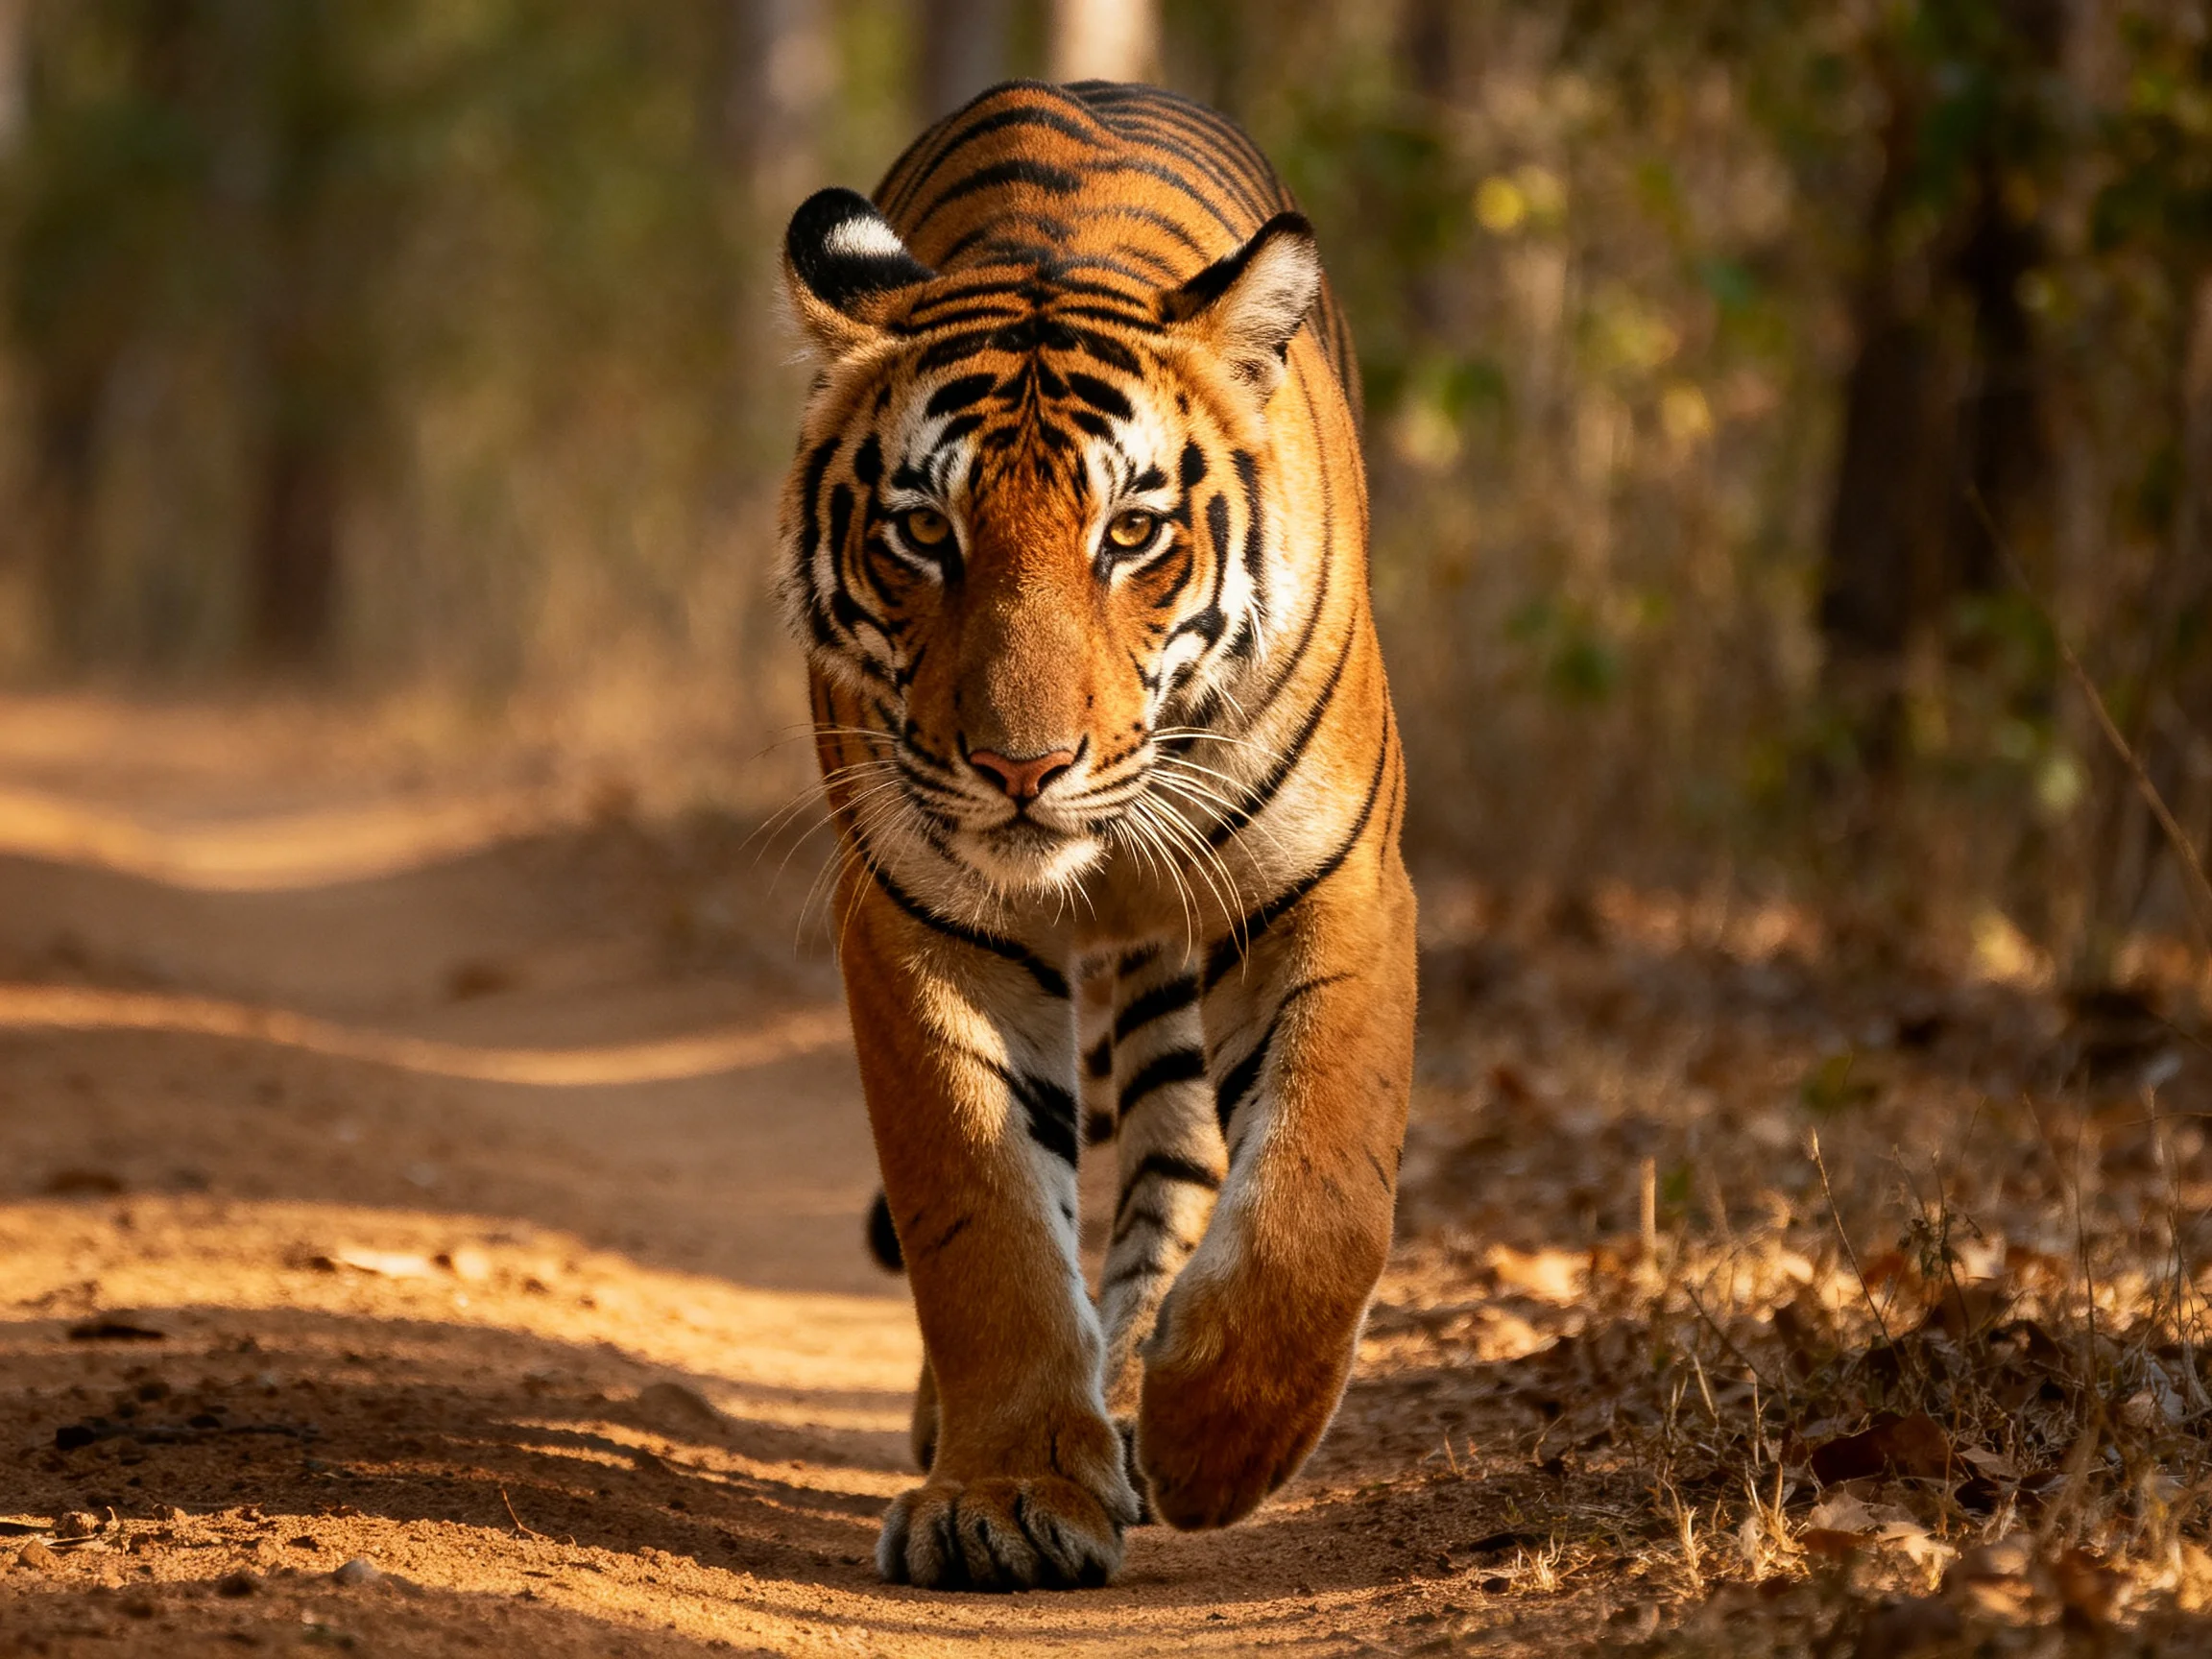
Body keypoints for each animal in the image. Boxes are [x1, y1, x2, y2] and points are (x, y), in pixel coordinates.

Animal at [778, 79, 1415, 1591]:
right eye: (922, 532)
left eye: (1130, 533)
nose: (1021, 766)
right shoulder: (916, 917)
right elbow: (983, 1215)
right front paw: (1006, 1496)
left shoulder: (1337, 882)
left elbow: (1325, 1189)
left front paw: (1220, 1439)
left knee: (1184, 1163)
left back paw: (1139, 1416)